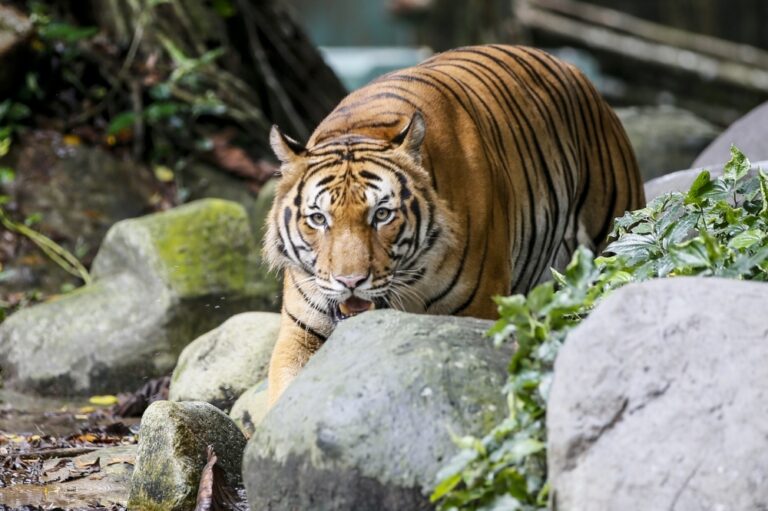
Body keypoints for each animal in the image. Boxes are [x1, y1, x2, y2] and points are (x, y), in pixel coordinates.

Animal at [264, 44, 645, 405]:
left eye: (382, 215)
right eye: (318, 219)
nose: (350, 282)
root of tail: (575, 70)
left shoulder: (479, 312)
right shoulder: (300, 332)